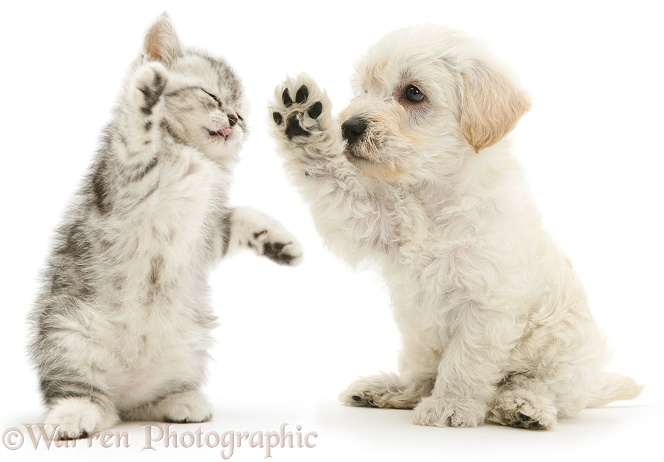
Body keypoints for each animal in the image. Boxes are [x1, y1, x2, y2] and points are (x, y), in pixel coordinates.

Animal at [28, 15, 302, 440]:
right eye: (212, 96)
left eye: (241, 114)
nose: (234, 120)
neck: (192, 154)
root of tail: (124, 390)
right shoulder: (124, 177)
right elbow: (136, 130)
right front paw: (148, 86)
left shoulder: (207, 232)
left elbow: (238, 217)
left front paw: (280, 241)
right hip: (65, 334)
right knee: (84, 394)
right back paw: (74, 416)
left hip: (188, 346)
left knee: (144, 403)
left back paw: (180, 402)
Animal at [270, 26, 644, 430]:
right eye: (364, 89)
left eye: (413, 93)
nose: (348, 127)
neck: (434, 195)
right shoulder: (371, 219)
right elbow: (334, 180)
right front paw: (301, 122)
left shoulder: (483, 303)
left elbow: (465, 361)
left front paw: (451, 406)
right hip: (418, 344)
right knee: (420, 379)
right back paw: (386, 390)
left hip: (564, 358)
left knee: (542, 390)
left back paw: (523, 407)